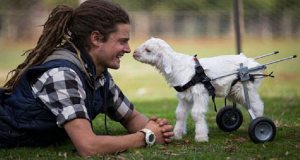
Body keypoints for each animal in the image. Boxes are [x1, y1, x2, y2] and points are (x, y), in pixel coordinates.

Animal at [132, 37, 264, 142]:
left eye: (148, 50)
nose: (134, 53)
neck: (178, 67)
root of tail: (253, 63)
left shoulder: (200, 93)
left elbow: (196, 113)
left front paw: (201, 137)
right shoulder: (184, 96)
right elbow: (180, 114)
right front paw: (176, 135)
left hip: (245, 88)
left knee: (257, 105)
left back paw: (259, 126)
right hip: (233, 91)